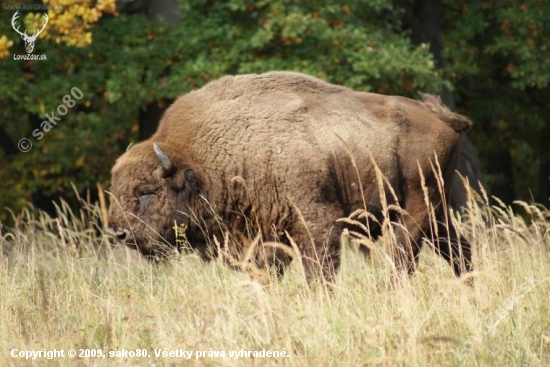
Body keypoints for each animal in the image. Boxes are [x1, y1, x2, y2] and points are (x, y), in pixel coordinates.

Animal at [109, 72, 474, 284]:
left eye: (146, 190)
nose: (118, 233)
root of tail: (442, 117)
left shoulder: (315, 224)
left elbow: (319, 272)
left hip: (415, 209)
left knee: (403, 257)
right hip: (438, 214)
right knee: (460, 249)